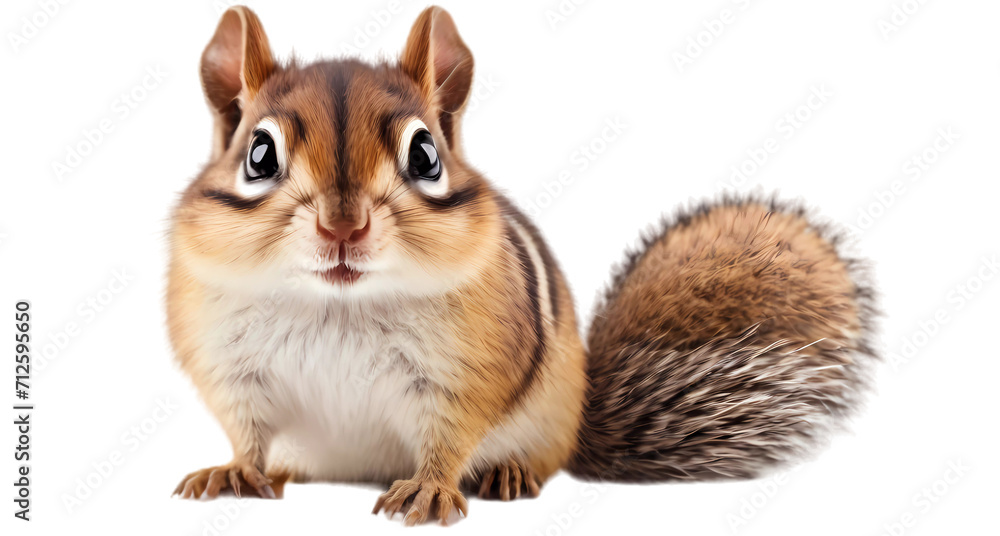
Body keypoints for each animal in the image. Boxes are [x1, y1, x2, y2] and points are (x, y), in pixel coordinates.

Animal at [168, 5, 878, 526]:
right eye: (259, 154)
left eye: (425, 155)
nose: (343, 227)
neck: (337, 304)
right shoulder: (231, 370)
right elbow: (247, 431)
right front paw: (235, 470)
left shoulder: (466, 373)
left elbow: (451, 435)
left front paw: (430, 488)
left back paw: (507, 473)